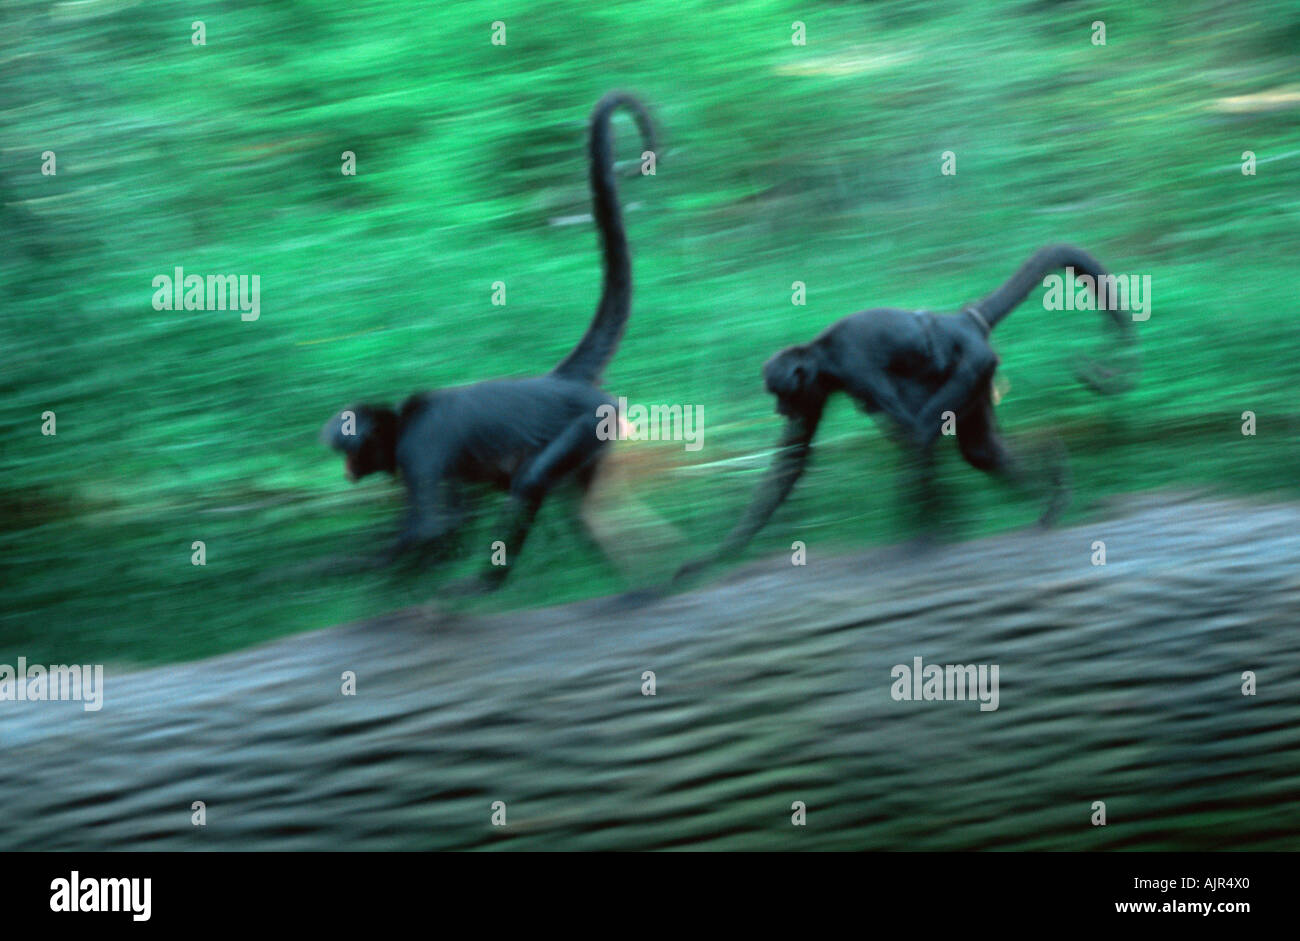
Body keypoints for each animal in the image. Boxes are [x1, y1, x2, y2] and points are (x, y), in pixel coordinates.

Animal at [321, 92, 656, 593]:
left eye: (349, 451)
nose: (345, 470)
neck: (403, 421)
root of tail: (560, 380)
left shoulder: (419, 450)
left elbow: (432, 527)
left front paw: (346, 575)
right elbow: (455, 519)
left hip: (589, 424)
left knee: (529, 482)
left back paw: (487, 583)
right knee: (572, 505)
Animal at [675, 243, 1137, 582]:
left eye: (780, 394)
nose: (778, 407)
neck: (823, 354)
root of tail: (964, 319)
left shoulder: (855, 367)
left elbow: (912, 430)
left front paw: (921, 542)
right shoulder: (818, 391)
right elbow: (790, 465)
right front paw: (709, 559)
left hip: (971, 365)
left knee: (932, 433)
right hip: (979, 378)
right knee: (980, 451)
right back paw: (1052, 483)